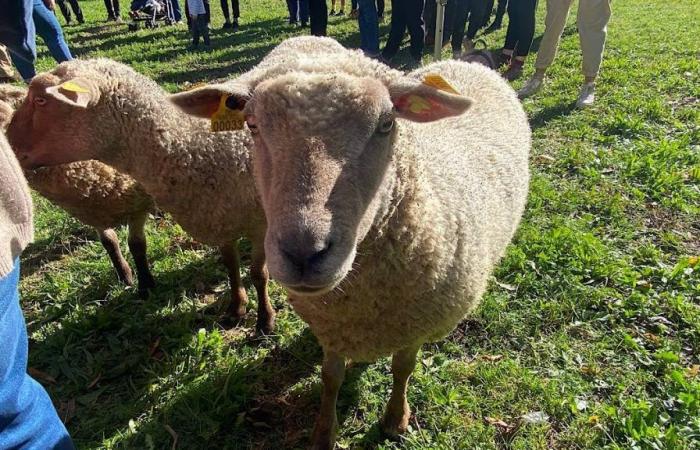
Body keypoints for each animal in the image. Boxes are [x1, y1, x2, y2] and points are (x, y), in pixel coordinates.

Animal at [0, 82, 156, 292]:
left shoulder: (137, 207)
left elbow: (137, 245)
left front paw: (146, 284)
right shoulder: (92, 212)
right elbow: (109, 242)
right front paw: (124, 275)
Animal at [172, 37, 528, 448]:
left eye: (386, 123)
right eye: (252, 124)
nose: (303, 253)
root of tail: (469, 62)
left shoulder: (414, 324)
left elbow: (403, 368)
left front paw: (395, 419)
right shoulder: (333, 325)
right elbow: (331, 378)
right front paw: (324, 432)